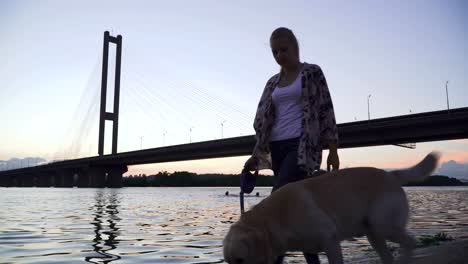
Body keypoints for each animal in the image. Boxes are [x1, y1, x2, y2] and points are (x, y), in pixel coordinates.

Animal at [225, 152, 440, 262]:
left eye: (240, 260)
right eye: (229, 262)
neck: (274, 218)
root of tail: (391, 174)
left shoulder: (330, 240)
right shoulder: (310, 248)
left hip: (383, 224)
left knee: (410, 242)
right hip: (373, 233)